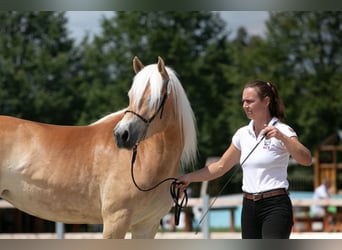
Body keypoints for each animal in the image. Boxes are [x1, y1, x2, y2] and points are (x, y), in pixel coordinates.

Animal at [0, 56, 198, 238]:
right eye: (130, 96)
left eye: (154, 98)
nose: (121, 135)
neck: (143, 161)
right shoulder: (116, 221)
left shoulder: (147, 226)